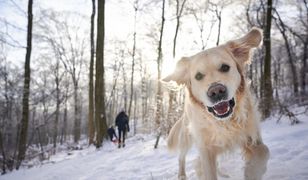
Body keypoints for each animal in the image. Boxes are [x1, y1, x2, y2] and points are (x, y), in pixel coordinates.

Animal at [164, 27, 270, 179]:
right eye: (198, 76)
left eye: (225, 67)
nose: (216, 91)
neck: (225, 123)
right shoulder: (206, 149)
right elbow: (207, 171)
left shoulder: (253, 135)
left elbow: (263, 152)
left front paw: (251, 171)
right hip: (186, 136)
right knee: (181, 156)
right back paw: (182, 175)